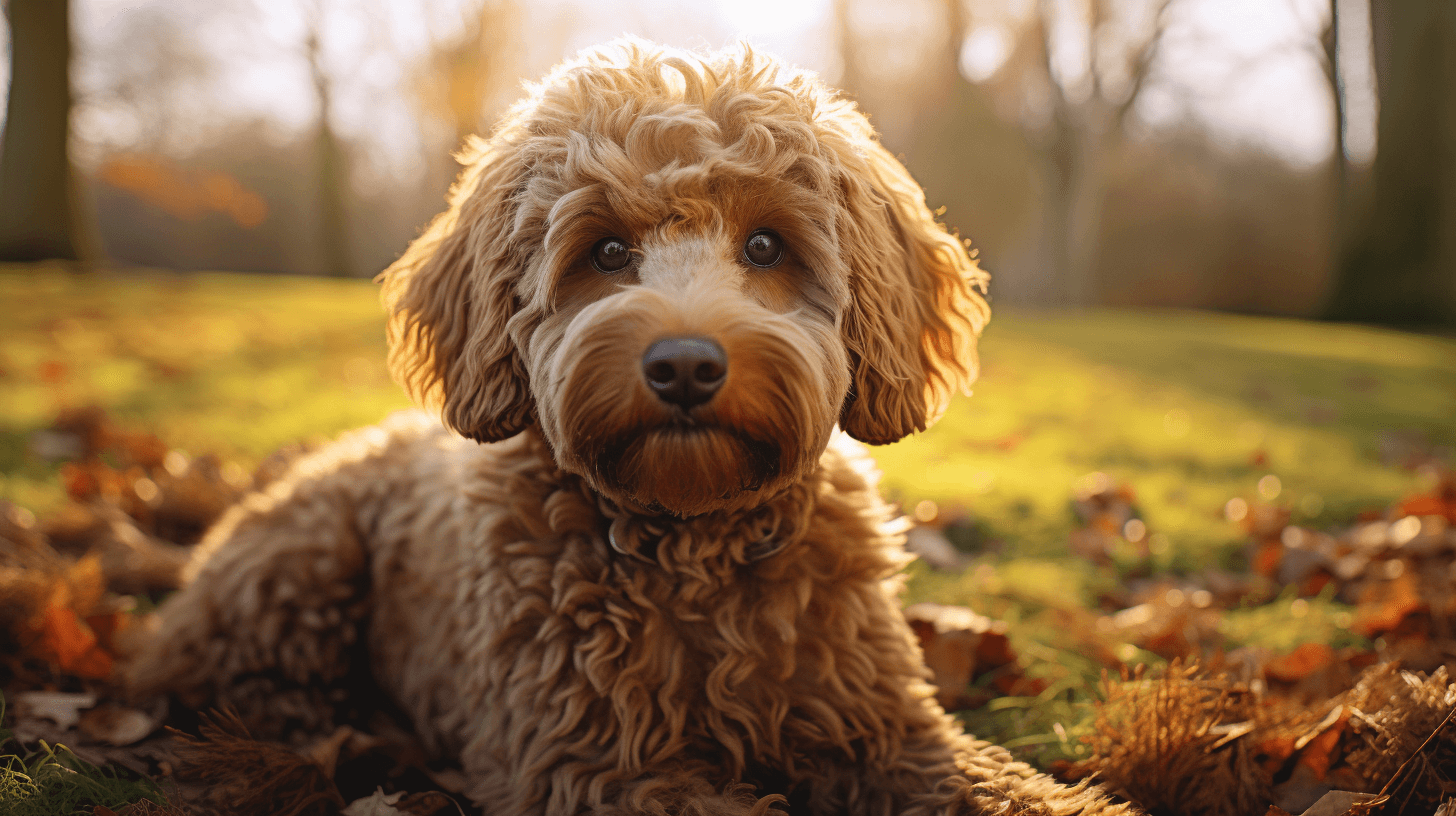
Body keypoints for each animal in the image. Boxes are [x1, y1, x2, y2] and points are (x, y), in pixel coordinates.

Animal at [128, 41, 1124, 816]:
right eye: (606, 251)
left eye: (766, 245)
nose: (684, 365)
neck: (696, 547)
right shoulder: (591, 766)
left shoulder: (885, 728)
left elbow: (989, 782)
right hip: (299, 570)